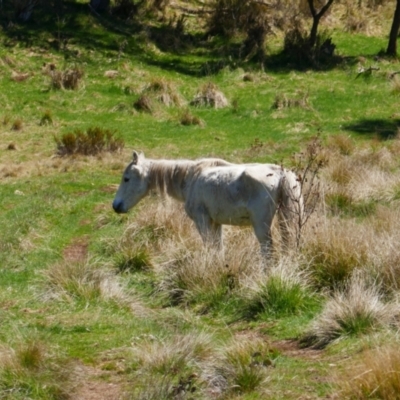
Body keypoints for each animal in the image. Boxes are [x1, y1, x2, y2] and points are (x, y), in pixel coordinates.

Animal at [112, 150, 304, 256]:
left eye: (126, 178)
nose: (116, 206)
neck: (191, 177)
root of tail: (280, 174)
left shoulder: (202, 221)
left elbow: (209, 247)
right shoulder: (215, 223)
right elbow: (218, 248)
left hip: (261, 226)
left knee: (267, 249)